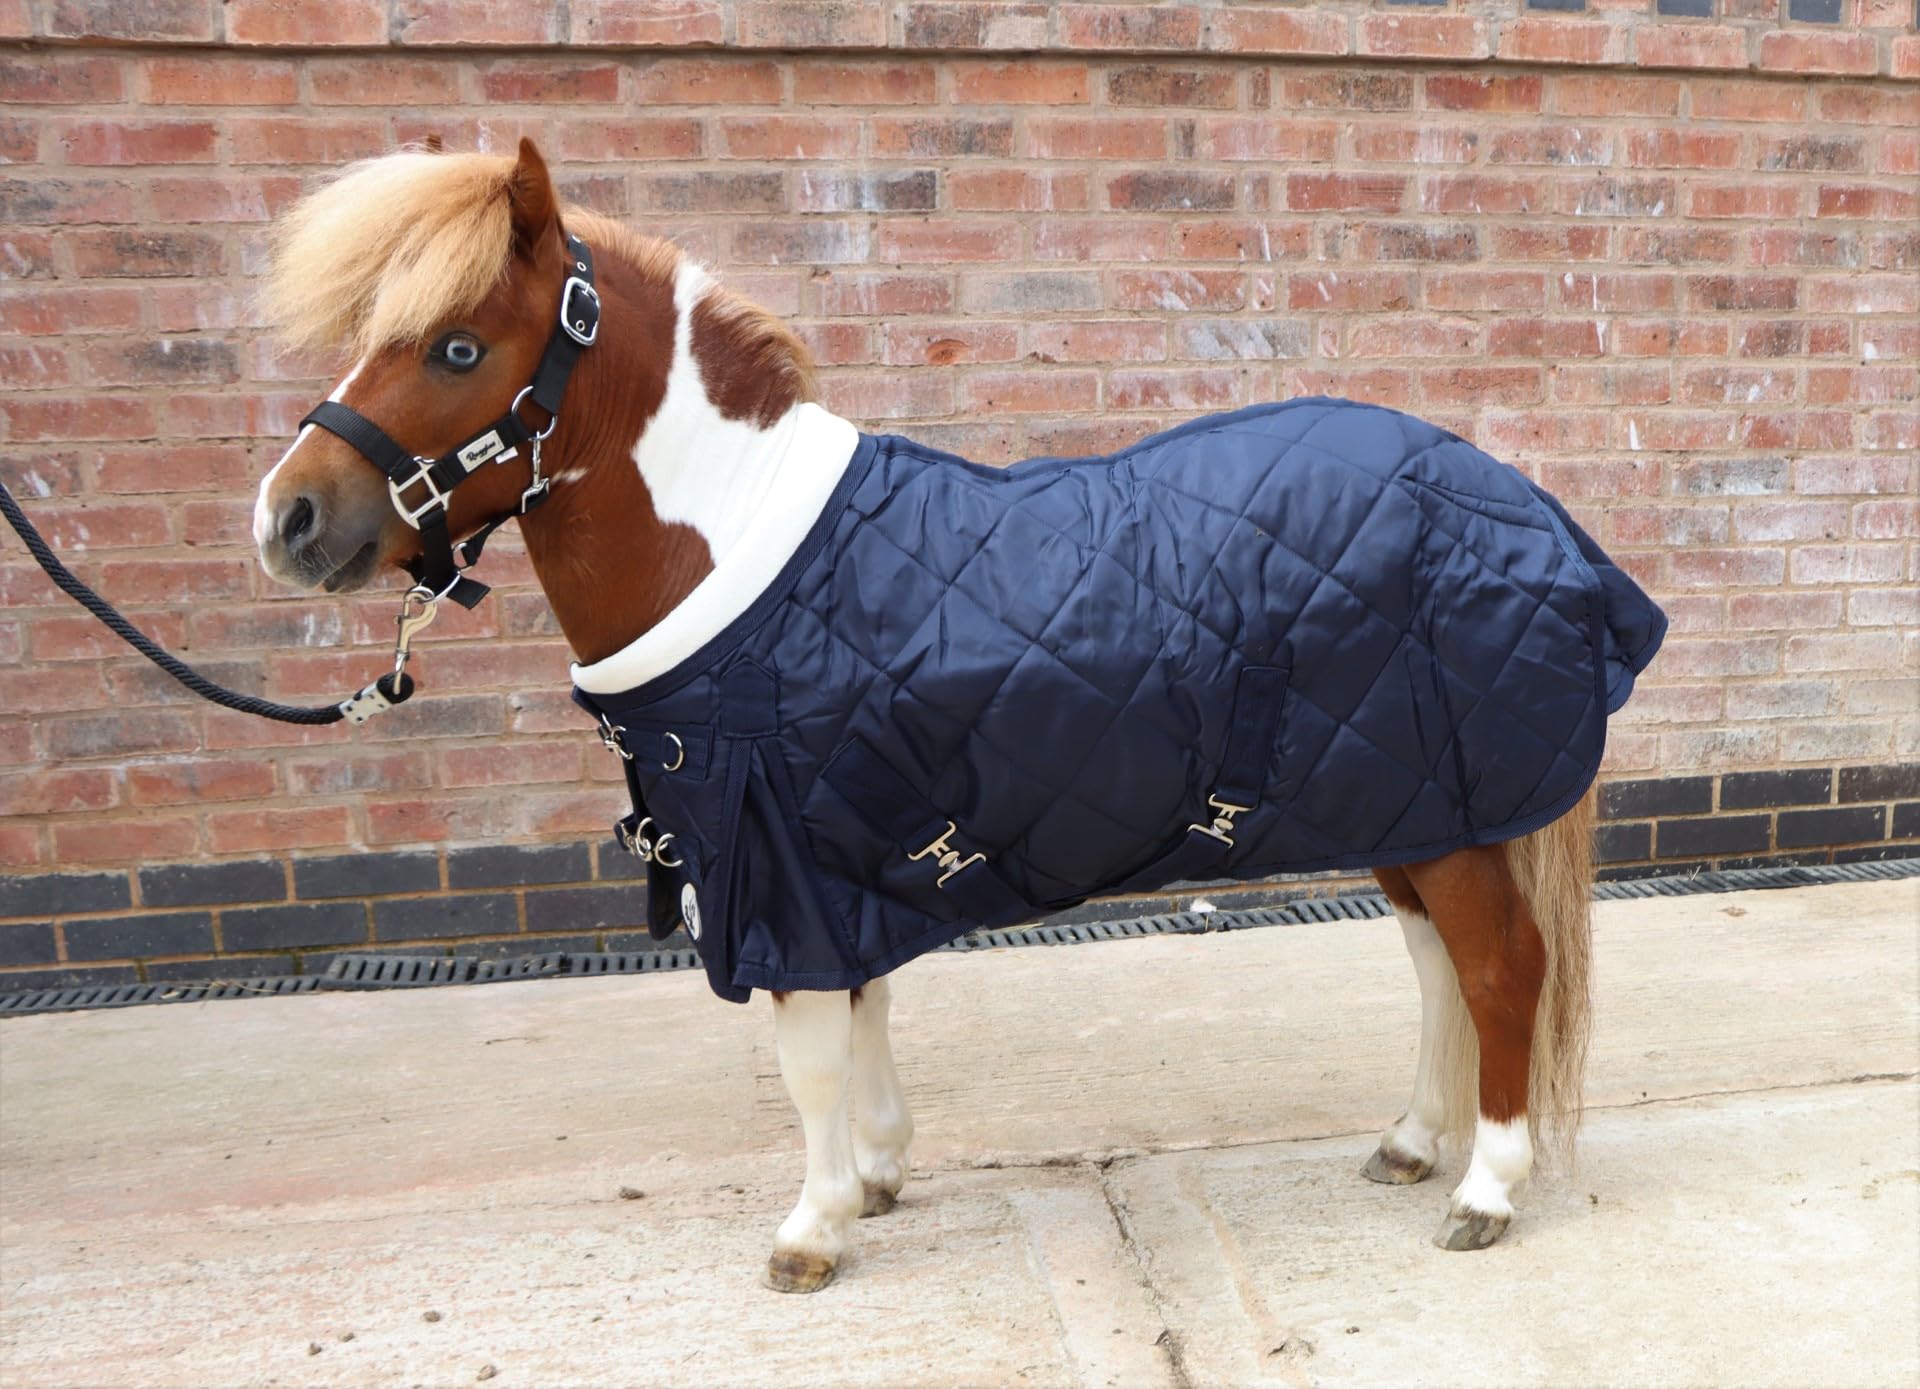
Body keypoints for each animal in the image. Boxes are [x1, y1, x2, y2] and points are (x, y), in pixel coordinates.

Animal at [253, 140, 1663, 1292]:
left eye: (457, 346)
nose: (288, 520)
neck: (740, 552)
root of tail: (1523, 506)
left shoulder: (777, 857)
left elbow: (810, 1050)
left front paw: (813, 1228)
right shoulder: (836, 843)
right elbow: (864, 1013)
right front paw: (878, 1176)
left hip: (1448, 806)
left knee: (1500, 968)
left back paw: (1486, 1190)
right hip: (1408, 805)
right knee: (1436, 967)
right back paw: (1414, 1144)